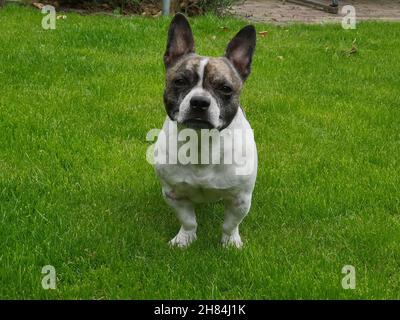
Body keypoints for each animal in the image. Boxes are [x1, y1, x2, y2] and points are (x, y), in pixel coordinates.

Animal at [152, 13, 258, 249]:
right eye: (179, 81)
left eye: (226, 89)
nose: (199, 102)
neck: (201, 142)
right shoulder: (173, 195)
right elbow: (188, 220)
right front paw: (185, 239)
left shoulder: (240, 199)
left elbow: (230, 224)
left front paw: (230, 243)